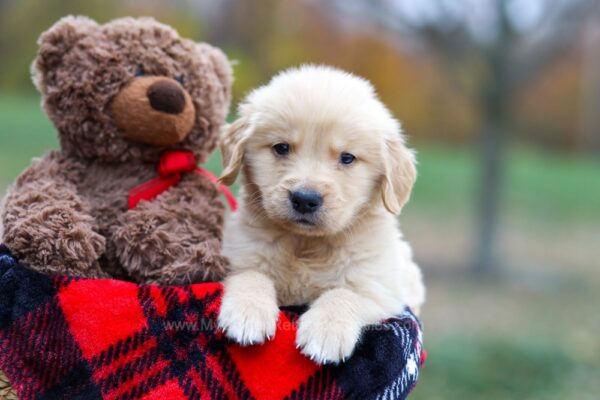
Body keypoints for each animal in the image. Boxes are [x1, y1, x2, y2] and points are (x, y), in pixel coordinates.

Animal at [218, 65, 424, 362]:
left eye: (347, 158)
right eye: (281, 147)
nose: (305, 199)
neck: (305, 244)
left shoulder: (378, 287)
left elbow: (344, 294)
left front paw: (326, 332)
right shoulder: (240, 254)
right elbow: (251, 275)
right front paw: (247, 313)